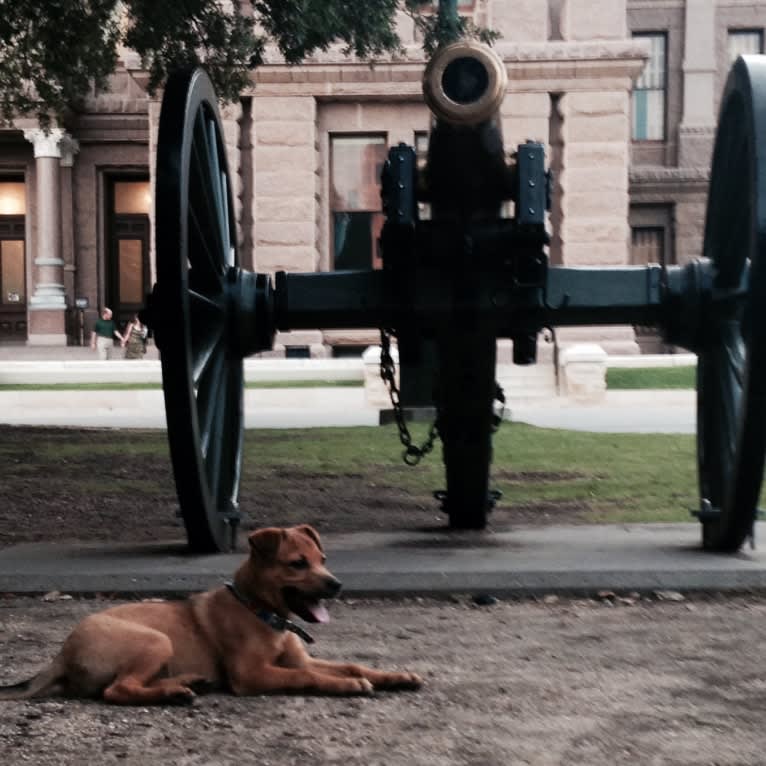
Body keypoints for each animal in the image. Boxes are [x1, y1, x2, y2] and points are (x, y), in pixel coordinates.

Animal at [0, 524, 424, 704]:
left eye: (323, 559)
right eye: (298, 564)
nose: (337, 585)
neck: (262, 614)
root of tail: (61, 654)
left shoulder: (301, 656)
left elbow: (351, 664)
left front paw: (395, 676)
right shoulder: (252, 674)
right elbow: (306, 676)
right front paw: (347, 686)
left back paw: (186, 682)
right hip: (155, 640)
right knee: (117, 690)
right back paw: (172, 694)